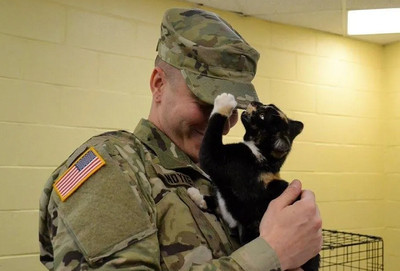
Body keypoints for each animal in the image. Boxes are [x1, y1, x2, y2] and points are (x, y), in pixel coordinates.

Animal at [193, 93, 318, 271]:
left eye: (262, 116)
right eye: (267, 105)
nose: (254, 102)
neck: (262, 156)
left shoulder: (219, 158)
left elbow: (212, 135)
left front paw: (224, 102)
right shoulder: (231, 205)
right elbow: (218, 202)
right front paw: (197, 196)